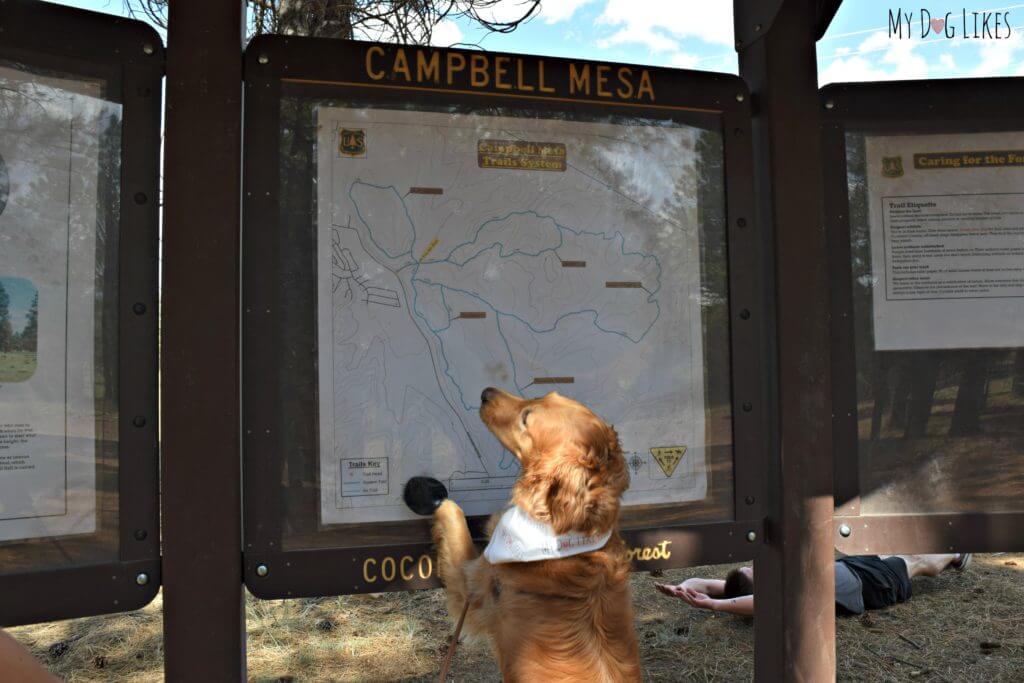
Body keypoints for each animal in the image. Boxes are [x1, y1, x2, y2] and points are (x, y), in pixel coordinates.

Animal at [401, 387, 634, 679]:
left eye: (526, 418)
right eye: (545, 394)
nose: (485, 392)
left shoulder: (473, 590)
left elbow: (452, 511)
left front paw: (427, 494)